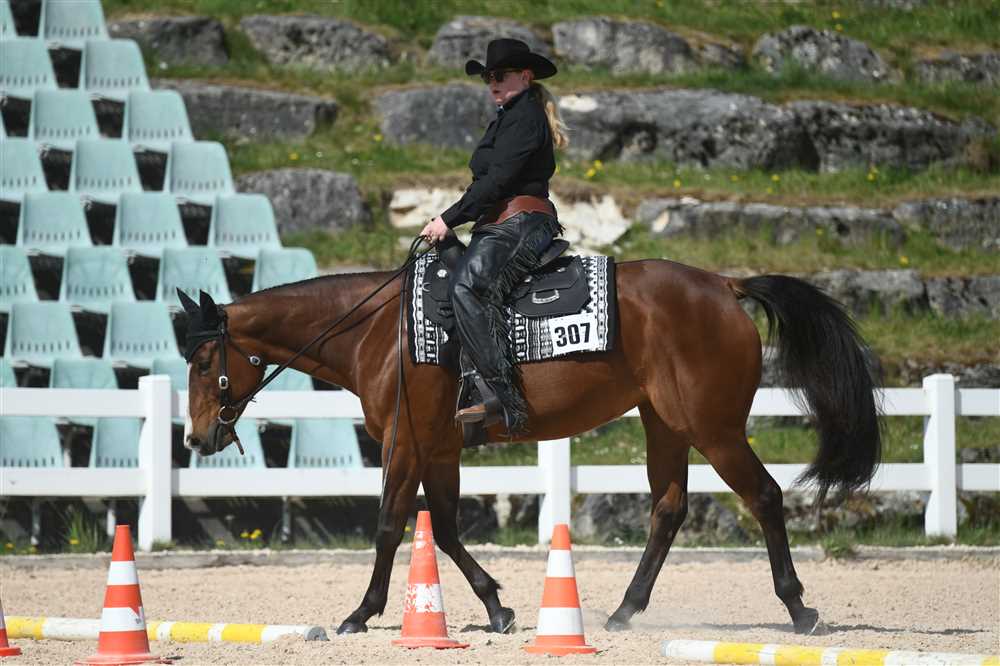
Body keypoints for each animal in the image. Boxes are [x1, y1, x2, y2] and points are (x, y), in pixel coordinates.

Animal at [180, 257, 881, 636]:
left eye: (204, 360)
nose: (197, 435)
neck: (380, 333)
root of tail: (723, 284)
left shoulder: (406, 445)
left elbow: (387, 525)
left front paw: (361, 612)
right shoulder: (440, 450)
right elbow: (446, 529)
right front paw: (496, 606)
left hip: (715, 429)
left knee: (764, 495)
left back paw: (799, 608)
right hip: (664, 425)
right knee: (669, 509)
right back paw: (625, 610)